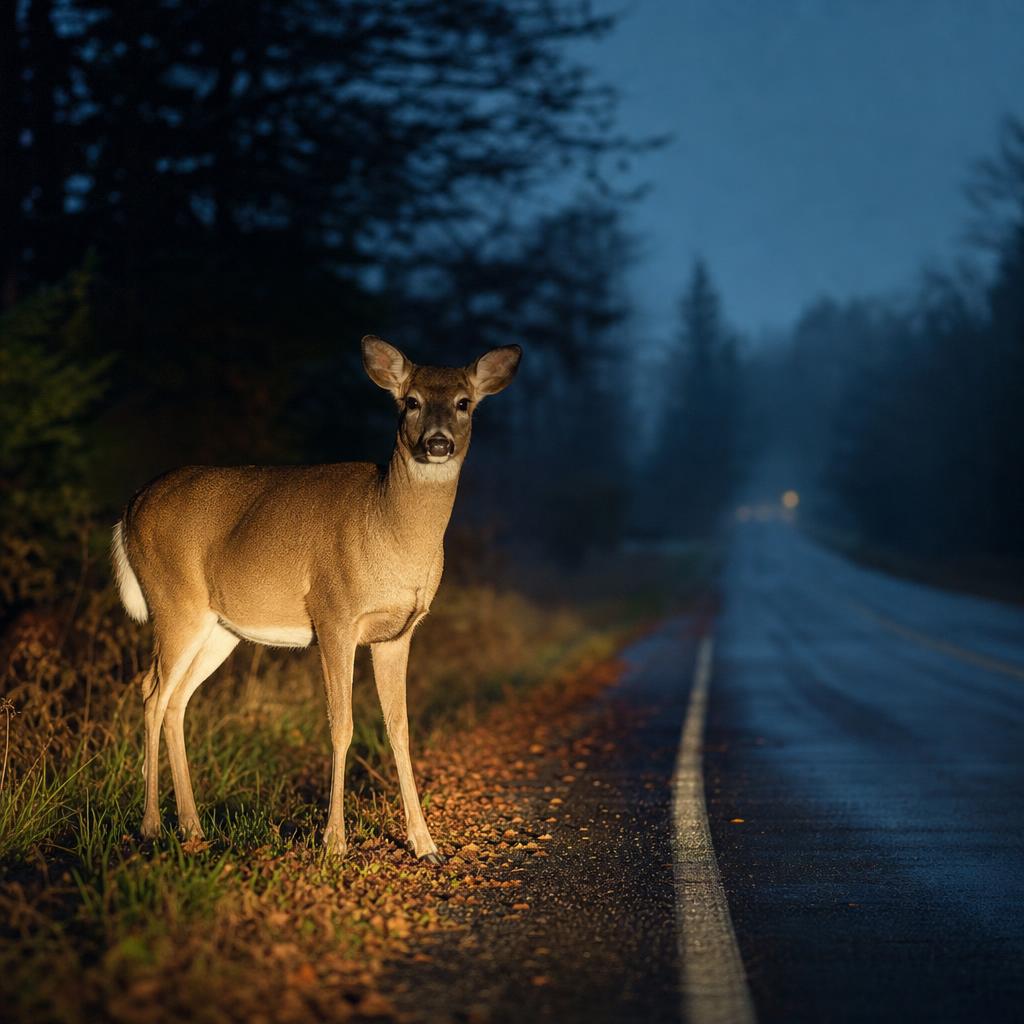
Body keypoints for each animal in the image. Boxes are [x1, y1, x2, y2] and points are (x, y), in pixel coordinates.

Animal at [110, 336, 521, 864]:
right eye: (410, 401)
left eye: (464, 403)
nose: (437, 443)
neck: (388, 526)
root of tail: (129, 509)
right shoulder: (334, 614)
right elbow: (341, 725)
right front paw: (334, 842)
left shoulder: (397, 632)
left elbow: (399, 728)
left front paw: (425, 844)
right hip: (174, 600)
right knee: (151, 690)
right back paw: (151, 826)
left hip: (219, 627)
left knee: (177, 699)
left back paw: (192, 827)